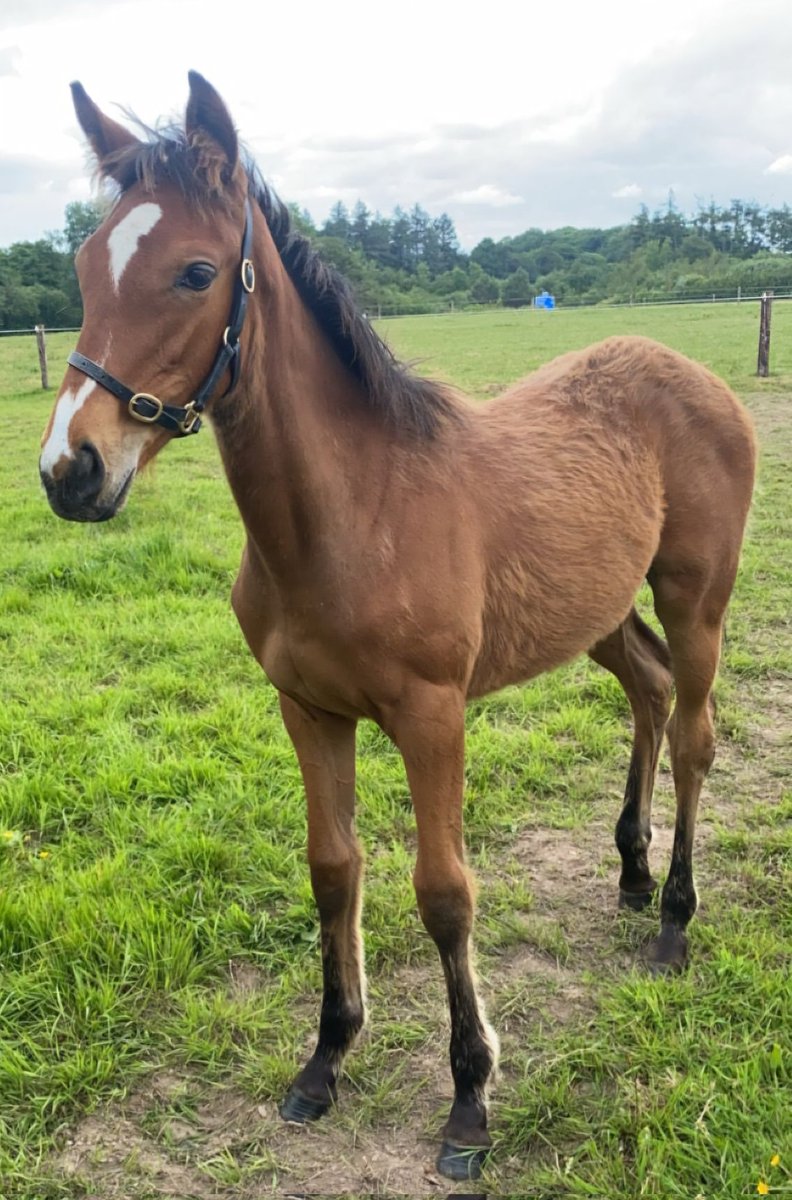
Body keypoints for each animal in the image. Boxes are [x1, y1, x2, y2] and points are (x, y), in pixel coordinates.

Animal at [39, 72, 756, 1181]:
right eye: (83, 266)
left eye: (196, 272)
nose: (70, 470)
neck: (353, 514)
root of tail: (693, 372)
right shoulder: (307, 709)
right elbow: (334, 870)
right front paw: (326, 1059)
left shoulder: (432, 716)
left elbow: (444, 891)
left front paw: (470, 1101)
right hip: (595, 608)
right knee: (646, 684)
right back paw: (633, 873)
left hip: (696, 598)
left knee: (694, 733)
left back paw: (675, 921)